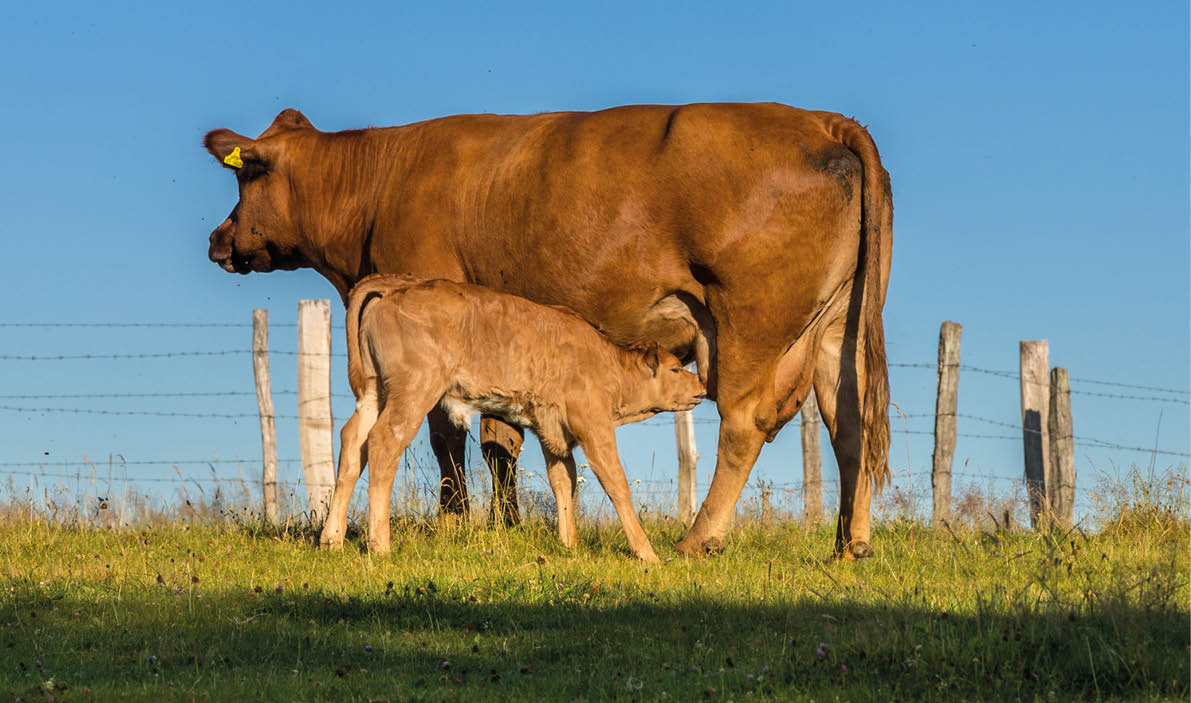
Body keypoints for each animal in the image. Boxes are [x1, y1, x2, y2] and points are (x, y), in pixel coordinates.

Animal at [317, 274, 707, 560]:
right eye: (675, 369)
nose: (701, 385)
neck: (604, 363)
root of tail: (397, 287)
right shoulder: (593, 427)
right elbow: (616, 484)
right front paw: (646, 553)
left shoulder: (552, 432)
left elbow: (563, 481)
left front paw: (570, 544)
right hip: (412, 394)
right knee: (384, 444)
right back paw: (379, 544)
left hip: (375, 392)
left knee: (353, 442)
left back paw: (331, 539)